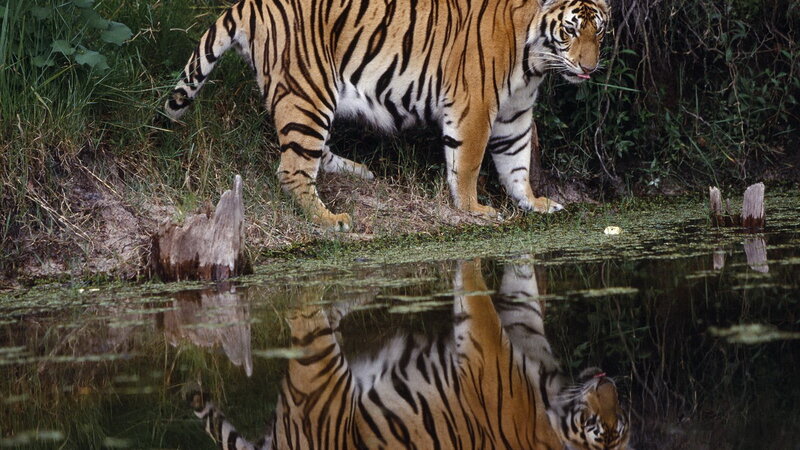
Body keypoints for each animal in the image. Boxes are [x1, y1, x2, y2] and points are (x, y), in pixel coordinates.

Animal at [165, 0, 610, 231]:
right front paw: (475, 210)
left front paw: (533, 202)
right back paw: (331, 219)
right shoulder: (475, 107)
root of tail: (250, 3)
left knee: (314, 153)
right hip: (308, 92)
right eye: (570, 30)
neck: (535, 62)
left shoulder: (515, 113)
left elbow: (516, 162)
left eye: (599, 31)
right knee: (293, 169)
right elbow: (467, 163)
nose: (589, 68)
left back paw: (359, 172)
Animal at [186, 258, 631, 449]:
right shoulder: (487, 346)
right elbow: (478, 298)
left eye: (620, 421)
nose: (606, 380)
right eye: (593, 423)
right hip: (320, 379)